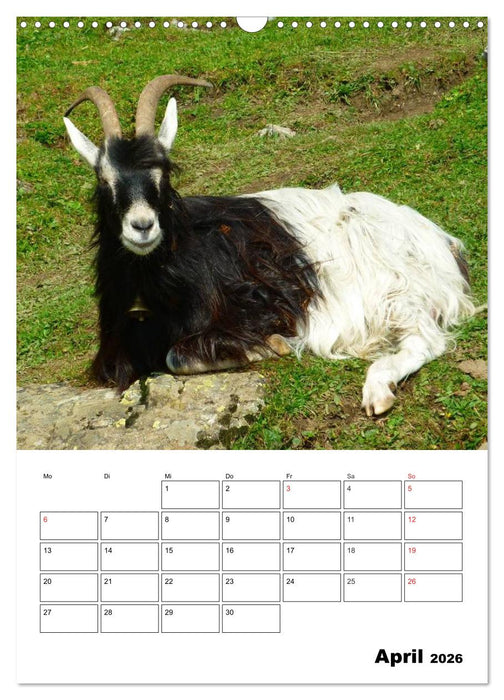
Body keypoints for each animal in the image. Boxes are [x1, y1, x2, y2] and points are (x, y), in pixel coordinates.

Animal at [63, 75, 474, 416]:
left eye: (162, 173)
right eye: (103, 179)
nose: (142, 226)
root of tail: (442, 240)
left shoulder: (263, 306)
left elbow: (176, 356)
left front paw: (267, 346)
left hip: (399, 289)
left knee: (425, 341)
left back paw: (378, 390)